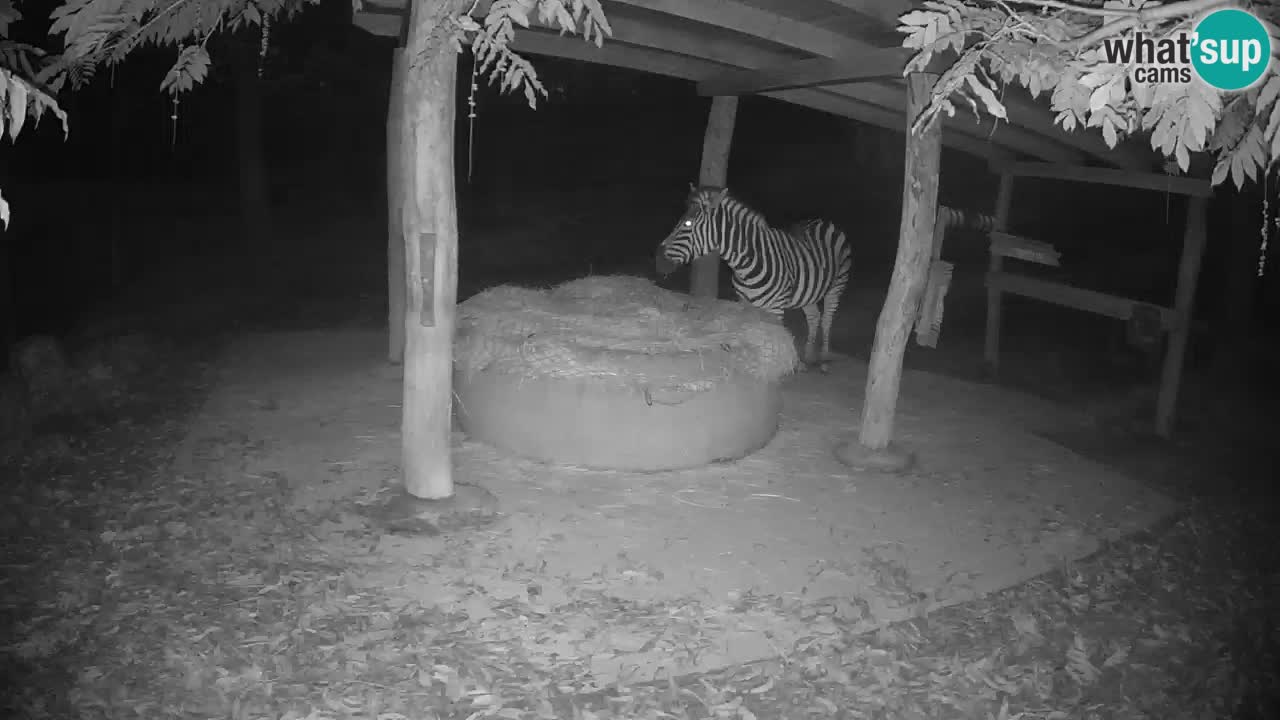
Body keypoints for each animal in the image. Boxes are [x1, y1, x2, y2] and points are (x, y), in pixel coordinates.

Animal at [655, 185, 852, 371]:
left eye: (688, 224)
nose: (658, 261)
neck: (747, 266)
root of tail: (822, 221)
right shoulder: (744, 304)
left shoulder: (776, 309)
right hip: (808, 293)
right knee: (814, 317)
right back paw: (807, 357)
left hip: (837, 285)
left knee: (827, 319)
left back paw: (824, 360)